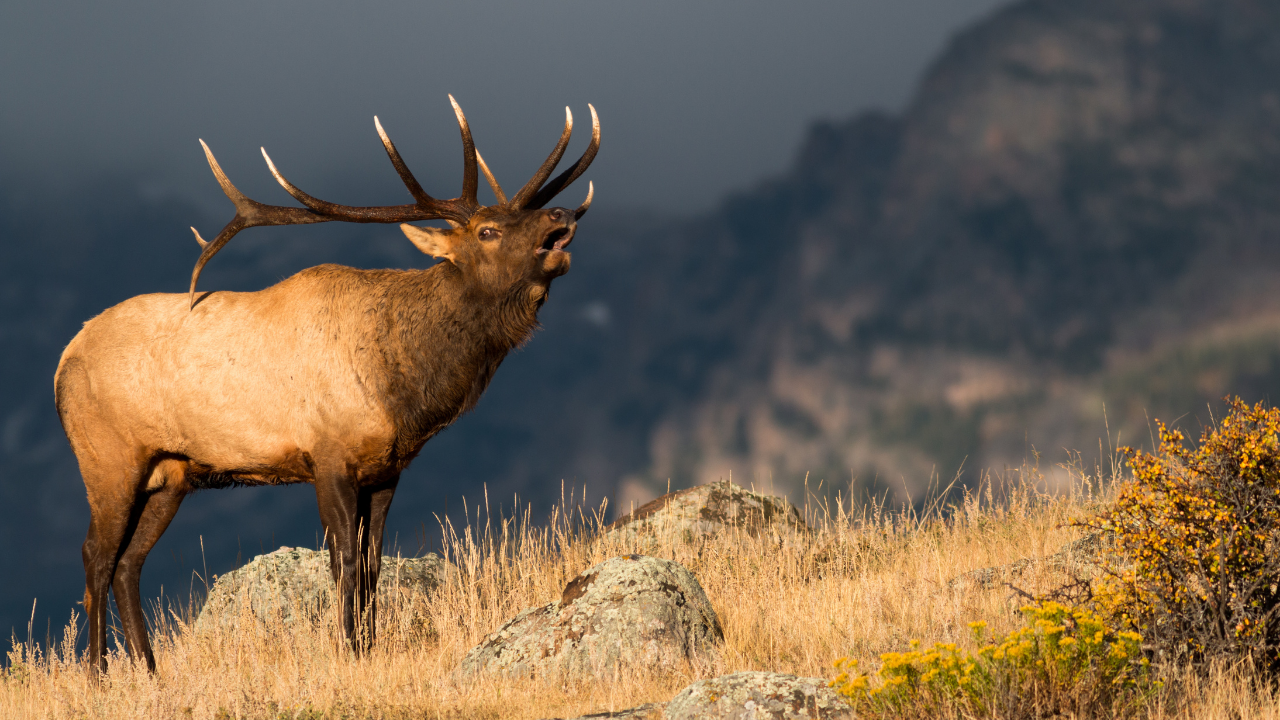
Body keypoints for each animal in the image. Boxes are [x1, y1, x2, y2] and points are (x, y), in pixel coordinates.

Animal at [52, 95, 601, 671]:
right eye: (487, 231)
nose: (561, 214)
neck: (403, 389)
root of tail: (63, 362)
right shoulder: (328, 454)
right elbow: (344, 563)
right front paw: (348, 650)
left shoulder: (386, 470)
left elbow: (373, 564)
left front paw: (369, 646)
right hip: (108, 459)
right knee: (96, 557)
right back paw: (97, 672)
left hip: (171, 473)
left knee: (129, 563)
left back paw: (150, 670)